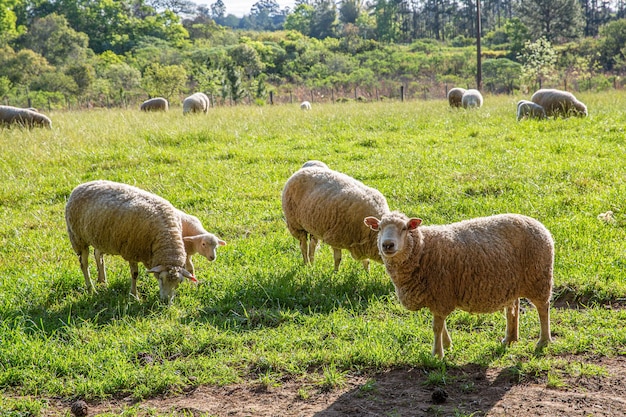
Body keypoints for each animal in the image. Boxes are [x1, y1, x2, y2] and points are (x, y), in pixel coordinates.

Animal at [65, 180, 195, 300]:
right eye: (161, 279)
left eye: (179, 283)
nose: (165, 302)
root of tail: (81, 186)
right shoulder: (132, 251)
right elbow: (135, 274)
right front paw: (134, 296)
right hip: (78, 238)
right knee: (84, 264)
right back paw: (91, 289)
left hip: (100, 237)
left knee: (98, 255)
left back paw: (102, 282)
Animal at [360, 211, 552, 358]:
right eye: (379, 228)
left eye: (405, 228)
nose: (387, 245)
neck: (422, 249)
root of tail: (538, 224)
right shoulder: (438, 294)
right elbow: (441, 325)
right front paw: (447, 344)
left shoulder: (441, 292)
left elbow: (436, 327)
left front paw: (437, 354)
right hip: (513, 284)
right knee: (513, 307)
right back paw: (510, 338)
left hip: (539, 279)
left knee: (543, 309)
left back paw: (543, 341)